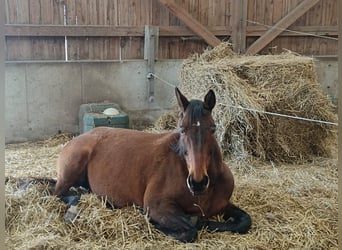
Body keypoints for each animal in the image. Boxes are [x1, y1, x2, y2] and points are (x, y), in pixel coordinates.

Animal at [54, 88, 251, 242]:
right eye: (182, 129)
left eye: (212, 129)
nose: (198, 182)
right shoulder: (157, 206)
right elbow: (189, 230)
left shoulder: (224, 205)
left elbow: (245, 222)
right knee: (57, 193)